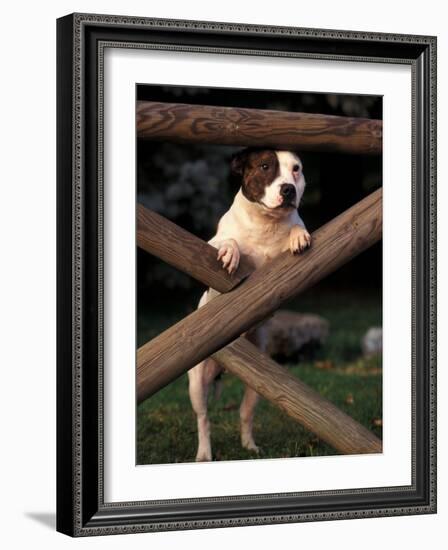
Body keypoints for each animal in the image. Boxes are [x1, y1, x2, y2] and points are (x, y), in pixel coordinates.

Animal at [187, 149, 310, 464]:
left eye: (296, 169)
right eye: (265, 166)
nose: (288, 189)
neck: (265, 224)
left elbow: (297, 226)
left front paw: (297, 234)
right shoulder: (208, 250)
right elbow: (227, 242)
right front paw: (231, 251)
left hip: (259, 383)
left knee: (245, 413)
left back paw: (249, 445)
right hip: (197, 383)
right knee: (203, 418)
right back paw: (204, 452)